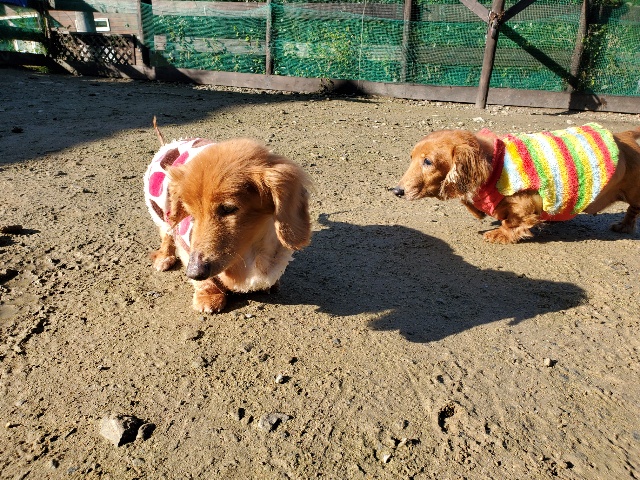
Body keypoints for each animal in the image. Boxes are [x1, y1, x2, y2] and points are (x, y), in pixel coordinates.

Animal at [144, 119, 312, 312]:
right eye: (191, 214)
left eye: (228, 209)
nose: (194, 272)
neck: (251, 249)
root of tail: (168, 145)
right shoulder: (186, 243)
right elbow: (204, 280)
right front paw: (208, 297)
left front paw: (271, 284)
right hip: (161, 213)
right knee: (166, 234)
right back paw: (164, 258)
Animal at [393, 123, 640, 244]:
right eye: (411, 157)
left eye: (428, 161)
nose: (397, 190)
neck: (494, 164)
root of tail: (625, 136)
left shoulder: (526, 204)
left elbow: (514, 222)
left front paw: (499, 234)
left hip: (633, 193)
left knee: (633, 210)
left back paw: (624, 227)